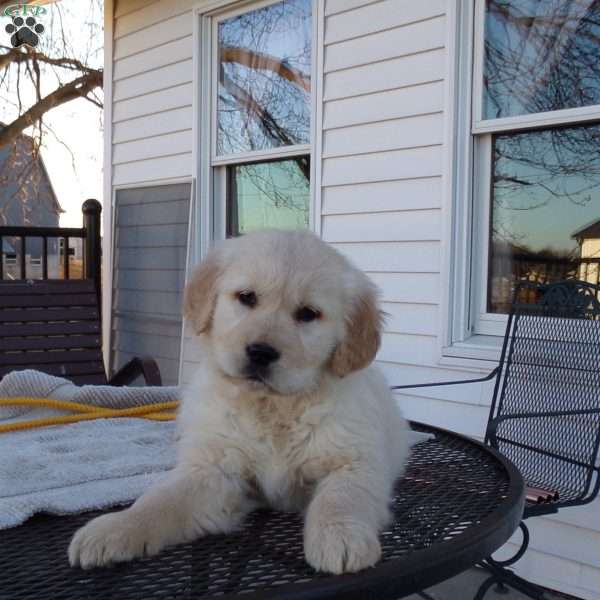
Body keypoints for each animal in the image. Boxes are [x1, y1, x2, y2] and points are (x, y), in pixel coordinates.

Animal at [68, 229, 410, 572]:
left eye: (308, 314)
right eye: (247, 297)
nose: (261, 352)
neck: (273, 406)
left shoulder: (353, 460)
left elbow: (342, 497)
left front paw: (340, 536)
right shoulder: (213, 470)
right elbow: (160, 500)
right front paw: (115, 528)